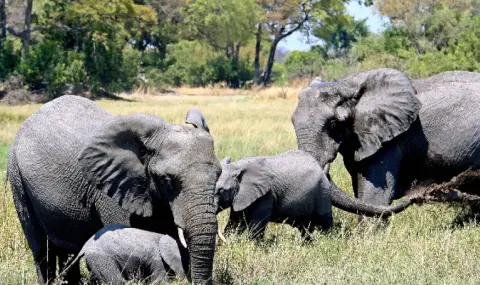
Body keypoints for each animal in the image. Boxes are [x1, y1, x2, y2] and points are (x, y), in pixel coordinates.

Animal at [214, 149, 412, 240]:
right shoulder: (242, 196)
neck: (239, 167)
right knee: (304, 227)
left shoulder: (266, 195)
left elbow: (256, 225)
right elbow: (235, 221)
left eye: (220, 191)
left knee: (324, 222)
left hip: (321, 193)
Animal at [292, 68, 480, 211]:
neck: (346, 85)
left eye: (332, 123)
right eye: (292, 121)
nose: (424, 193)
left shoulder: (390, 142)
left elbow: (374, 197)